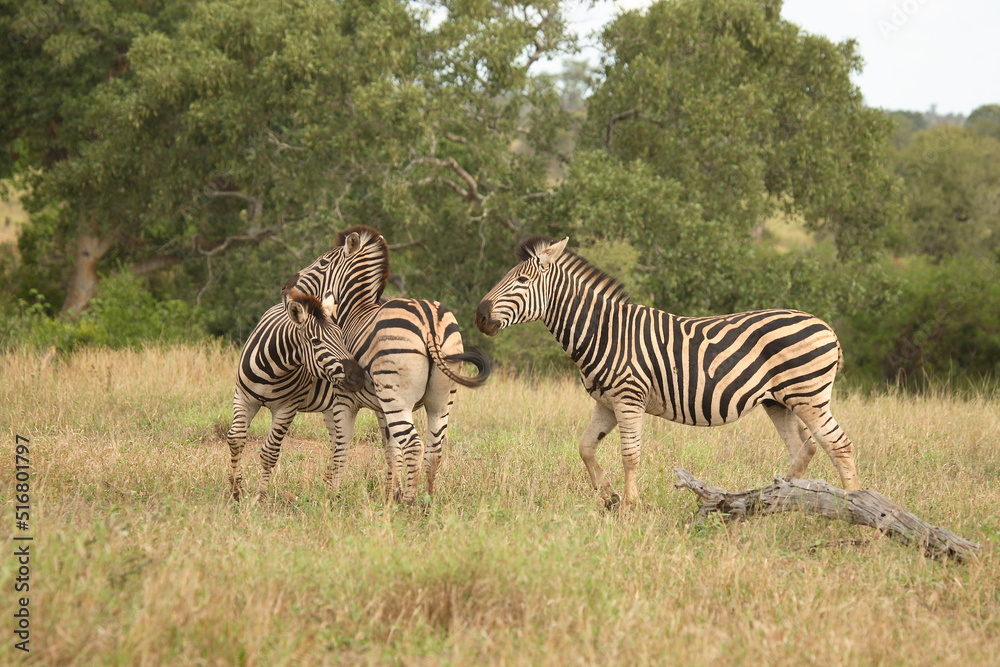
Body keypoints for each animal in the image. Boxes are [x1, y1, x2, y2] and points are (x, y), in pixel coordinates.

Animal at [227, 288, 366, 501]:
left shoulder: (287, 407)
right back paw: (328, 488)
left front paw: (260, 496)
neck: (273, 368)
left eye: (342, 337)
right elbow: (236, 439)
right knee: (337, 444)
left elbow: (270, 452)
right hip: (332, 408)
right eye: (316, 341)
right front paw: (236, 490)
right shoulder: (243, 397)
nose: (359, 377)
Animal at [284, 225, 492, 504]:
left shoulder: (345, 400)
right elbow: (391, 449)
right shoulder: (381, 407)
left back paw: (411, 503)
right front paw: (391, 494)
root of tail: (429, 320)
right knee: (434, 450)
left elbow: (341, 446)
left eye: (323, 262)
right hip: (439, 400)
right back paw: (427, 502)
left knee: (414, 446)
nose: (286, 286)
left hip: (398, 399)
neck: (356, 309)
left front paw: (332, 496)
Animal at [474, 235, 860, 509]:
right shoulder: (606, 403)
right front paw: (609, 496)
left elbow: (630, 454)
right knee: (805, 450)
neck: (604, 331)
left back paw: (851, 511)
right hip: (779, 402)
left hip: (808, 396)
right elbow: (585, 447)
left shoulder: (629, 398)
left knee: (839, 446)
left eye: (522, 280)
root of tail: (827, 327)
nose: (479, 315)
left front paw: (630, 506)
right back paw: (773, 503)